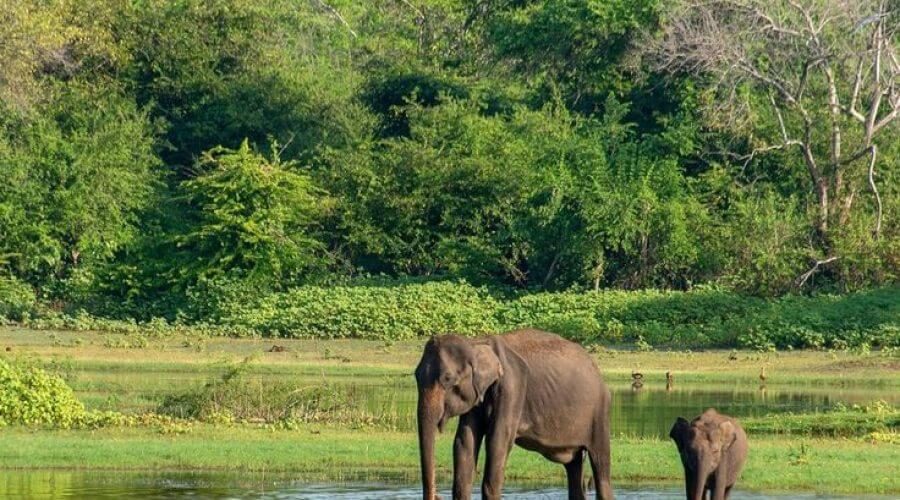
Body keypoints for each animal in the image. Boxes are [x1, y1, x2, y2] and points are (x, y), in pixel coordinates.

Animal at [414, 328, 614, 500]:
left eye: (447, 378)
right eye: (415, 375)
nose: (436, 495)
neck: (477, 343)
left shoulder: (512, 386)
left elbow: (498, 440)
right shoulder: (478, 396)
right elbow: (465, 441)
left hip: (599, 412)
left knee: (601, 465)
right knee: (574, 466)